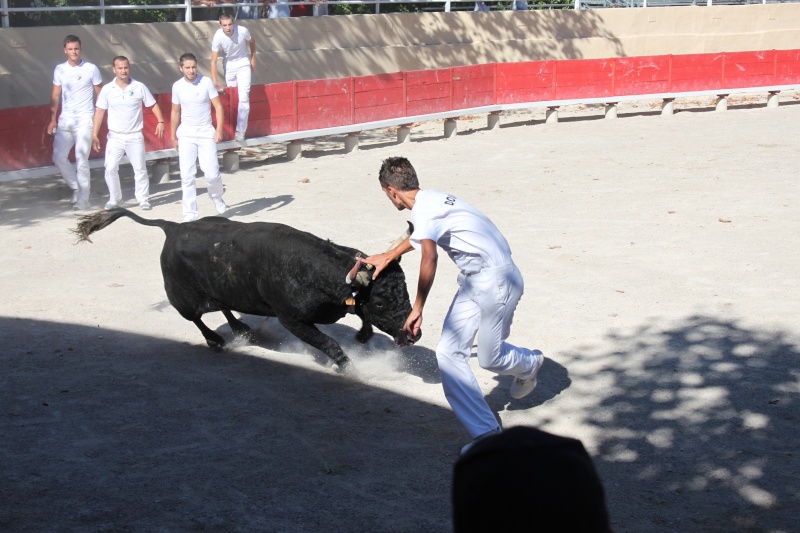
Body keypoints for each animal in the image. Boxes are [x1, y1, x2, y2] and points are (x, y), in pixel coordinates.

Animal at [74, 208, 418, 370]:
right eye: (381, 303)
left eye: (405, 291)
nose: (414, 334)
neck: (315, 271)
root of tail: (173, 228)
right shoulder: (292, 320)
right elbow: (330, 343)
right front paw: (351, 368)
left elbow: (359, 317)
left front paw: (362, 337)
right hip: (182, 299)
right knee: (197, 319)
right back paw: (216, 341)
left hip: (224, 287)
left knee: (224, 306)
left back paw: (241, 329)